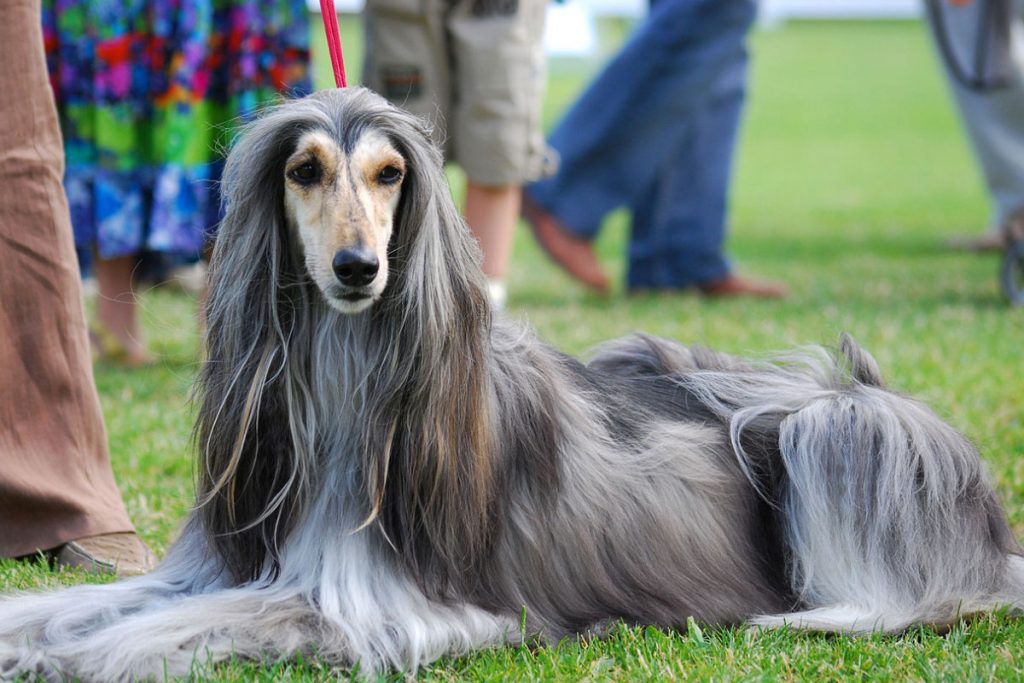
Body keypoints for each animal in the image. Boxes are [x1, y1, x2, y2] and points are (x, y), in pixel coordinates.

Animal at [2, 88, 1024, 679]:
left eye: (390, 172)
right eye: (304, 169)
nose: (357, 269)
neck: (347, 387)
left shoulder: (387, 608)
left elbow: (165, 626)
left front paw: (85, 655)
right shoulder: (222, 561)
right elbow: (82, 602)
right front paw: (37, 633)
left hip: (850, 429)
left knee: (937, 591)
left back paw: (802, 615)